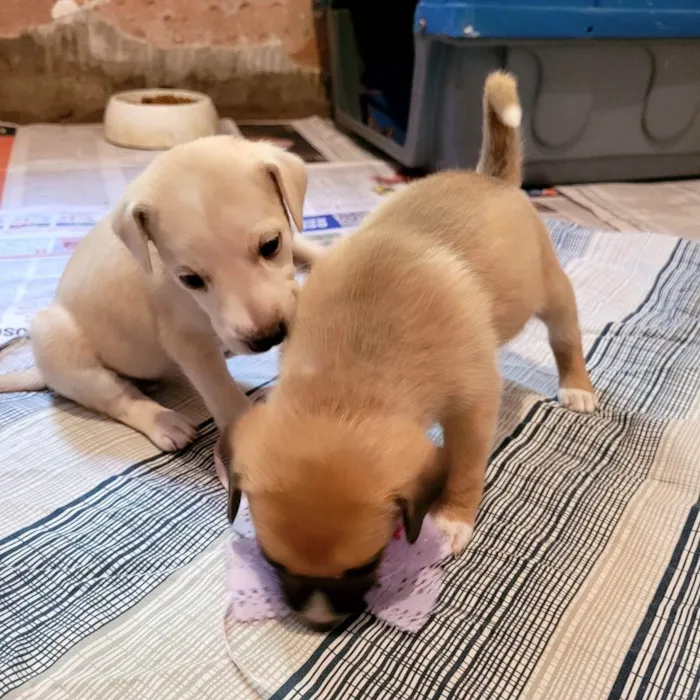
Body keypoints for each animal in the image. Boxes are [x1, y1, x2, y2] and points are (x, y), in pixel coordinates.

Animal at [0, 135, 324, 452]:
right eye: (190, 280)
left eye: (271, 244)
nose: (268, 337)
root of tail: (40, 371)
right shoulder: (188, 344)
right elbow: (225, 396)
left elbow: (308, 248)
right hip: (60, 343)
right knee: (119, 397)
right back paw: (165, 422)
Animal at [223, 74, 596, 632]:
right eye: (273, 562)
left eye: (367, 565)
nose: (319, 624)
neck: (346, 384)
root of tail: (493, 179)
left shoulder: (472, 405)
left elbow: (464, 466)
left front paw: (452, 519)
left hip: (550, 291)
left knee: (566, 335)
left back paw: (578, 386)